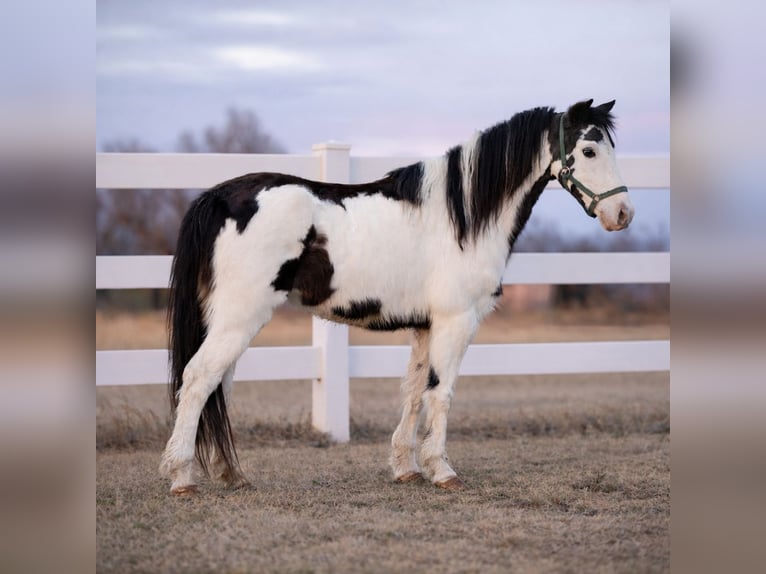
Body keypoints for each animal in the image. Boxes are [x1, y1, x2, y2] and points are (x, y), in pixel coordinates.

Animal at [159, 99, 634, 495]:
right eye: (589, 151)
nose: (623, 214)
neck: (461, 218)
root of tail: (218, 197)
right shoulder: (456, 321)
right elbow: (441, 394)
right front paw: (442, 471)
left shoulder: (424, 326)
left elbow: (414, 392)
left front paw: (407, 468)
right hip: (240, 317)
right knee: (199, 379)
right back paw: (182, 478)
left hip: (228, 319)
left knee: (217, 387)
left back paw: (231, 475)